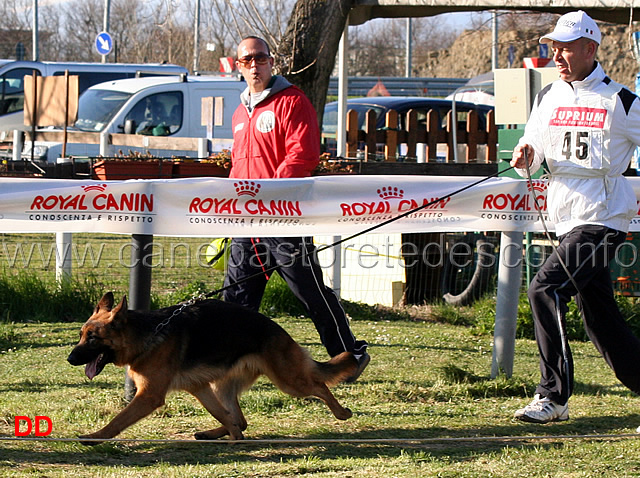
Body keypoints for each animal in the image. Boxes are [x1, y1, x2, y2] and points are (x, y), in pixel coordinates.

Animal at [67, 290, 358, 442]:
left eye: (92, 338)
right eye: (81, 335)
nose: (70, 359)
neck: (146, 335)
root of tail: (279, 330)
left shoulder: (149, 396)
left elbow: (118, 420)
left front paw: (96, 435)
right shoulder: (200, 388)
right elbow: (223, 415)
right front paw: (235, 439)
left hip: (289, 381)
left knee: (319, 385)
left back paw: (341, 412)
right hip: (222, 386)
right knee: (239, 418)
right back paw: (215, 433)